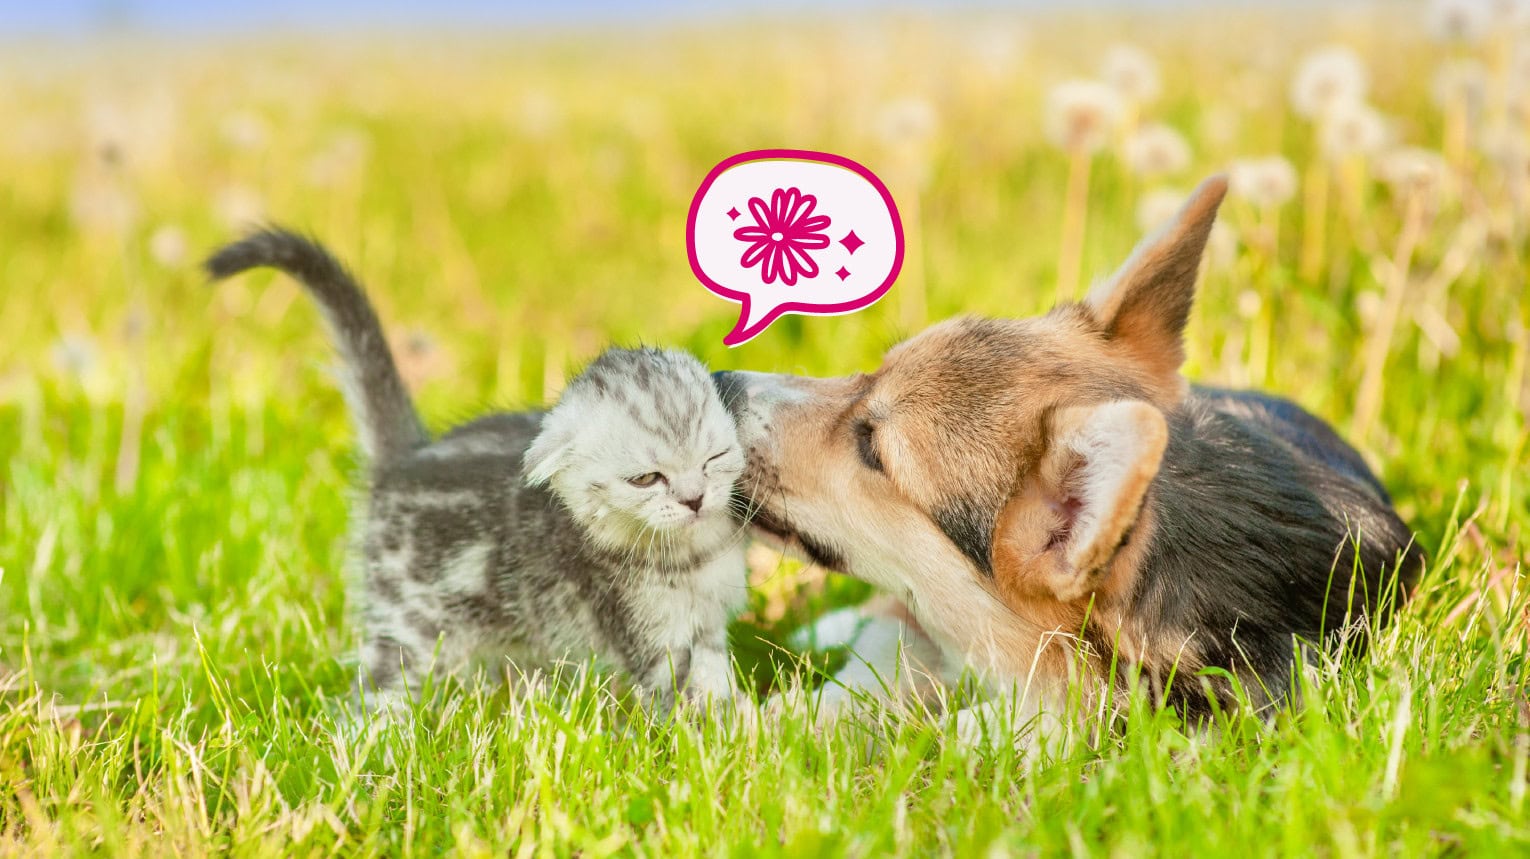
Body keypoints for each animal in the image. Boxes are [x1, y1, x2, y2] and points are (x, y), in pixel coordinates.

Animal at [205, 229, 752, 716]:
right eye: (645, 479)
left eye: (714, 459)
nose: (694, 499)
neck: (693, 557)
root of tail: (406, 457)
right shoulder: (646, 634)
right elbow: (694, 704)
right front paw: (745, 734)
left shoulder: (706, 629)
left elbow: (715, 680)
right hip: (410, 623)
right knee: (374, 693)